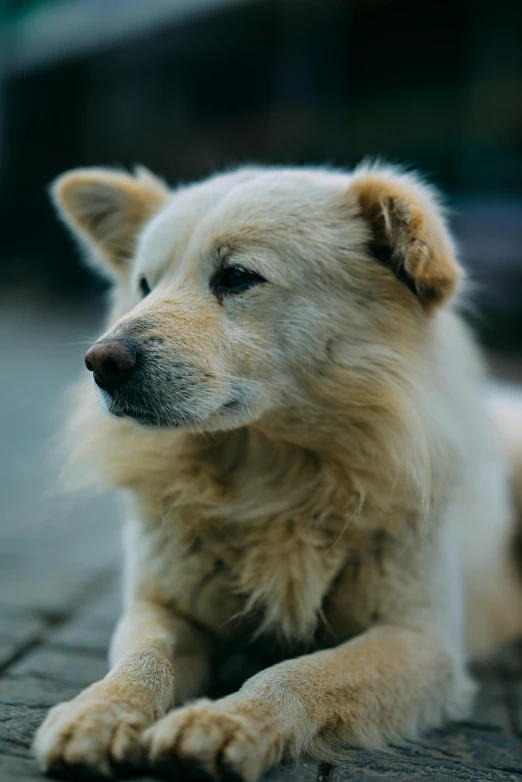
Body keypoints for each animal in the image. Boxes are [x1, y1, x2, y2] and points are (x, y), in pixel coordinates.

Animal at [31, 162, 520, 780]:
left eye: (237, 277)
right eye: (143, 284)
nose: (101, 362)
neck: (269, 478)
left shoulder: (423, 643)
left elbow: (299, 674)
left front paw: (226, 721)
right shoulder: (161, 605)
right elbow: (142, 659)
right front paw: (98, 712)